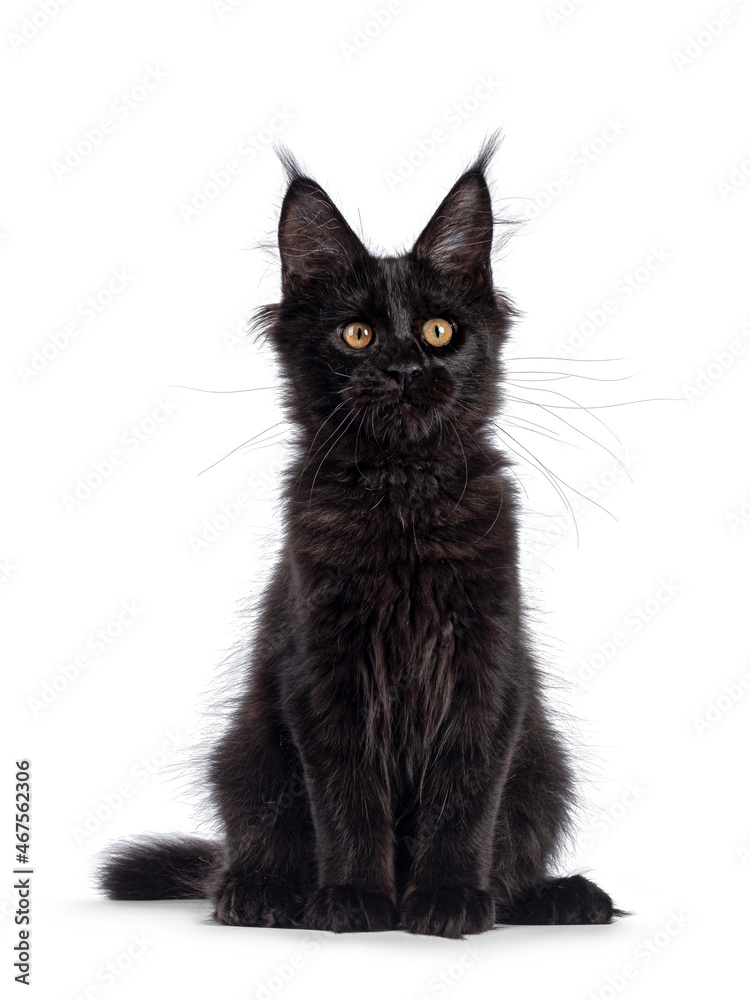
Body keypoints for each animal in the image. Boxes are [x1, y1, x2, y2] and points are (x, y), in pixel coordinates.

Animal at [101, 139, 628, 936]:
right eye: (358, 334)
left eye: (439, 331)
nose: (406, 368)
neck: (401, 498)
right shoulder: (324, 669)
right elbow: (348, 798)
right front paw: (354, 899)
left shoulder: (486, 665)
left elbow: (464, 799)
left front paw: (447, 899)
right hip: (248, 757)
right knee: (249, 851)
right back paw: (262, 893)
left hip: (543, 767)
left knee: (513, 860)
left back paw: (560, 896)